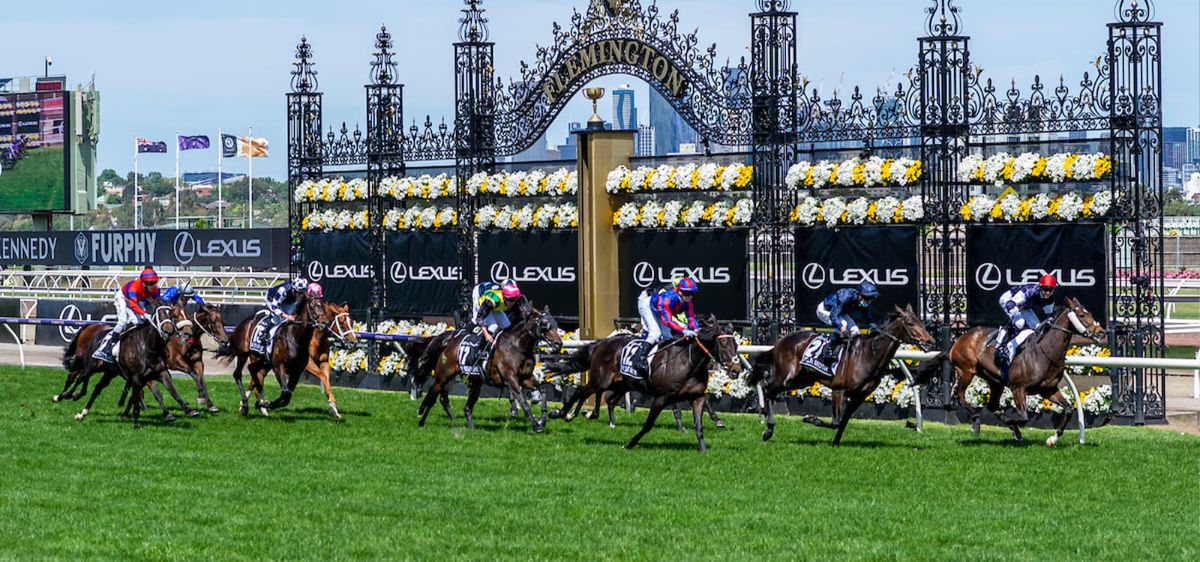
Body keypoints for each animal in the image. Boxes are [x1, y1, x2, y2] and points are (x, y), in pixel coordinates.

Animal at [411, 303, 563, 432]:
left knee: (465, 407)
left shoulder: (525, 378)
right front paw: (536, 425)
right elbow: (523, 401)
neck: (517, 345)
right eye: (544, 324)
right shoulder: (511, 379)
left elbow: (542, 389)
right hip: (444, 376)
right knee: (433, 395)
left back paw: (469, 427)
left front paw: (543, 419)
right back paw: (421, 419)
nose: (558, 343)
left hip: (475, 383)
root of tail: (447, 342)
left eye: (555, 324)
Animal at [546, 315, 741, 452]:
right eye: (723, 342)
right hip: (601, 381)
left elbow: (699, 426)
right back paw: (561, 413)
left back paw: (580, 414)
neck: (688, 362)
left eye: (736, 345)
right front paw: (630, 443)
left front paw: (703, 450)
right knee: (581, 390)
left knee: (605, 398)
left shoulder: (697, 397)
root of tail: (601, 343)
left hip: (620, 384)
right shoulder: (662, 397)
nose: (736, 370)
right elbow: (648, 425)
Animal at [748, 305, 935, 446]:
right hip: (787, 376)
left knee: (771, 391)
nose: (930, 341)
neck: (869, 354)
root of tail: (780, 341)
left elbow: (844, 421)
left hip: (802, 380)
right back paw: (768, 427)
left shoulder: (860, 395)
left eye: (921, 322)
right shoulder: (839, 389)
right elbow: (835, 422)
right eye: (910, 323)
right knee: (768, 389)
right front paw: (810, 418)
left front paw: (835, 443)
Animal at [911, 297, 1105, 446]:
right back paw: (976, 421)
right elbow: (1024, 416)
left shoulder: (1048, 389)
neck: (1045, 352)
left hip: (995, 381)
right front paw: (1014, 424)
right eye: (1081, 315)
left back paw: (1011, 429)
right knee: (959, 395)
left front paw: (1052, 439)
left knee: (992, 405)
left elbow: (1069, 409)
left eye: (1090, 313)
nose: (1101, 332)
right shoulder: (1018, 388)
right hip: (966, 370)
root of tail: (957, 341)